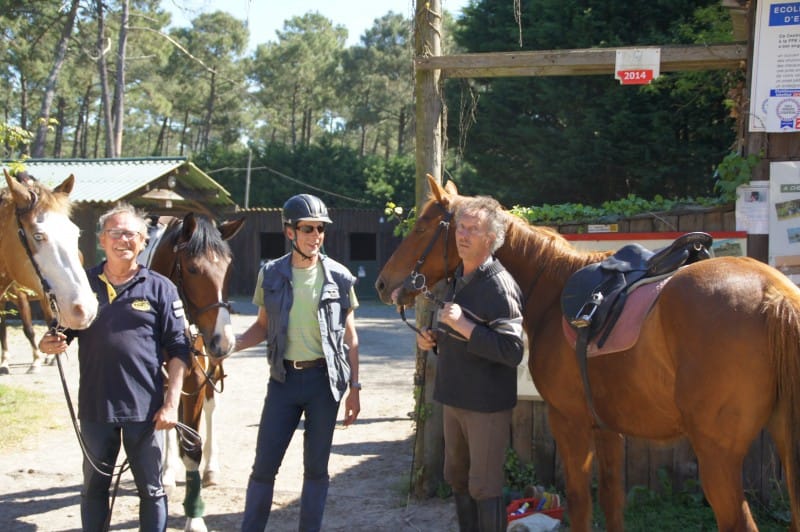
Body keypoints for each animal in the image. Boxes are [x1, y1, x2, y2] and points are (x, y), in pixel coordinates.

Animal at [139, 212, 244, 532]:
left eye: (228, 268)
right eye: (194, 269)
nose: (224, 340)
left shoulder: (196, 377)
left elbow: (193, 447)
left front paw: (195, 519)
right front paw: (165, 474)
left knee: (211, 406)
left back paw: (211, 469)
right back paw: (167, 473)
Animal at [378, 175, 800, 532]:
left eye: (421, 228)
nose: (383, 283)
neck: (552, 289)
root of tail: (774, 293)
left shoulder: (570, 422)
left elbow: (581, 503)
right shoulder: (608, 428)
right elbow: (612, 501)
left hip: (717, 456)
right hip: (783, 441)